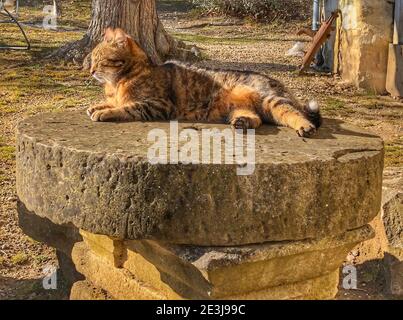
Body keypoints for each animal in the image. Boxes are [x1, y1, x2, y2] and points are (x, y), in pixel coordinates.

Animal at [88, 28, 322, 137]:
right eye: (92, 59)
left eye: (98, 59)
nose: (90, 70)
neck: (117, 83)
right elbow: (115, 102)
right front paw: (97, 106)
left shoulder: (158, 104)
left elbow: (127, 107)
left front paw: (104, 112)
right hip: (241, 108)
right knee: (256, 119)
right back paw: (242, 122)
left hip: (269, 100)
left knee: (293, 112)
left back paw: (305, 126)